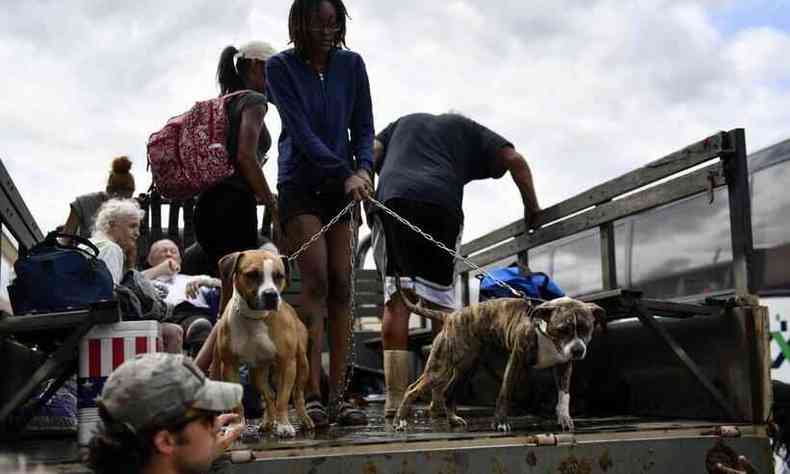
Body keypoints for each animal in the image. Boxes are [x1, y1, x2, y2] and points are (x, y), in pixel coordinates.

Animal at [212, 250, 314, 438]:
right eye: (252, 274)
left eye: (279, 276)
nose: (271, 294)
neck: (255, 317)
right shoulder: (229, 365)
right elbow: (239, 403)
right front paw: (236, 426)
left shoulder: (287, 364)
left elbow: (283, 398)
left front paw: (284, 425)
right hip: (257, 373)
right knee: (269, 395)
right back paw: (267, 423)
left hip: (302, 364)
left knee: (297, 394)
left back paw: (305, 419)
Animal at [394, 282, 608, 434]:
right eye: (563, 329)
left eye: (586, 329)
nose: (578, 350)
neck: (546, 334)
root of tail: (450, 317)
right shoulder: (517, 360)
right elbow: (506, 391)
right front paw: (500, 423)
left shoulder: (564, 366)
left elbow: (564, 396)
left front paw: (565, 419)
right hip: (440, 368)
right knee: (412, 389)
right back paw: (400, 421)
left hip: (466, 368)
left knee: (448, 392)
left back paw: (453, 419)